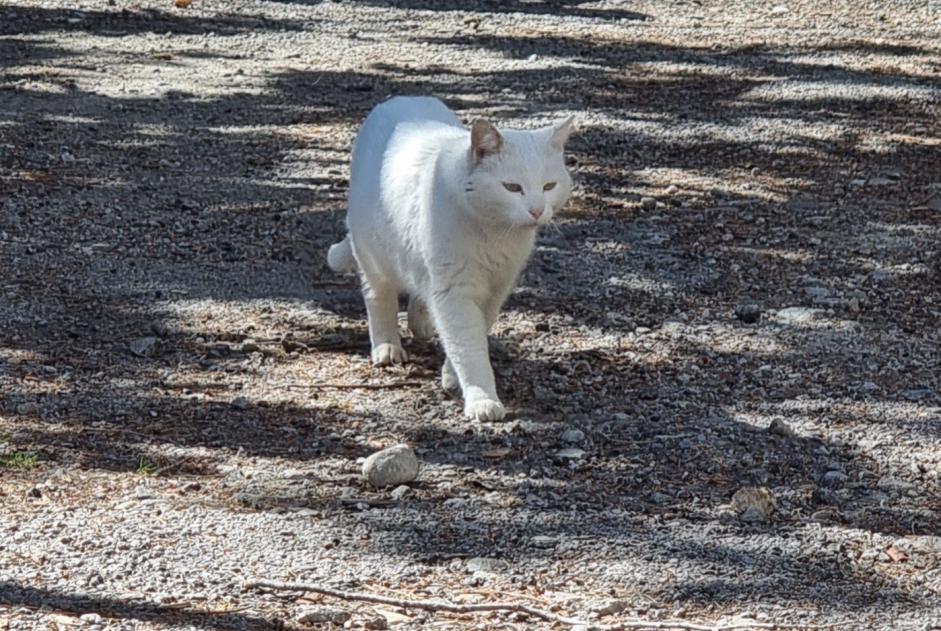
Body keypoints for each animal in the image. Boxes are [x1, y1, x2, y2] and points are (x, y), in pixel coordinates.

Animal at [326, 96, 568, 422]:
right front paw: (482, 399)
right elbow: (468, 347)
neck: (495, 233)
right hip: (374, 257)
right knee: (380, 299)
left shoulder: (495, 289)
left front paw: (452, 375)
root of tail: (402, 97)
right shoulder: (455, 292)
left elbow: (472, 334)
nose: (537, 210)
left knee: (419, 292)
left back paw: (422, 323)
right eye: (512, 188)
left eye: (549, 186)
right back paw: (387, 346)